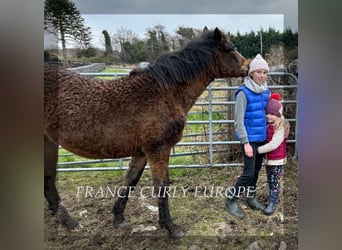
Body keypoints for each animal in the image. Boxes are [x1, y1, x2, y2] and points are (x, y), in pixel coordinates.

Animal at [44, 25, 248, 238]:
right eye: (231, 49)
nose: (248, 67)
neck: (164, 92)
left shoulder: (141, 152)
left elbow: (130, 181)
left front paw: (119, 217)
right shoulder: (158, 149)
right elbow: (162, 186)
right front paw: (171, 227)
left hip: (48, 141)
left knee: (48, 180)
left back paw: (67, 221)